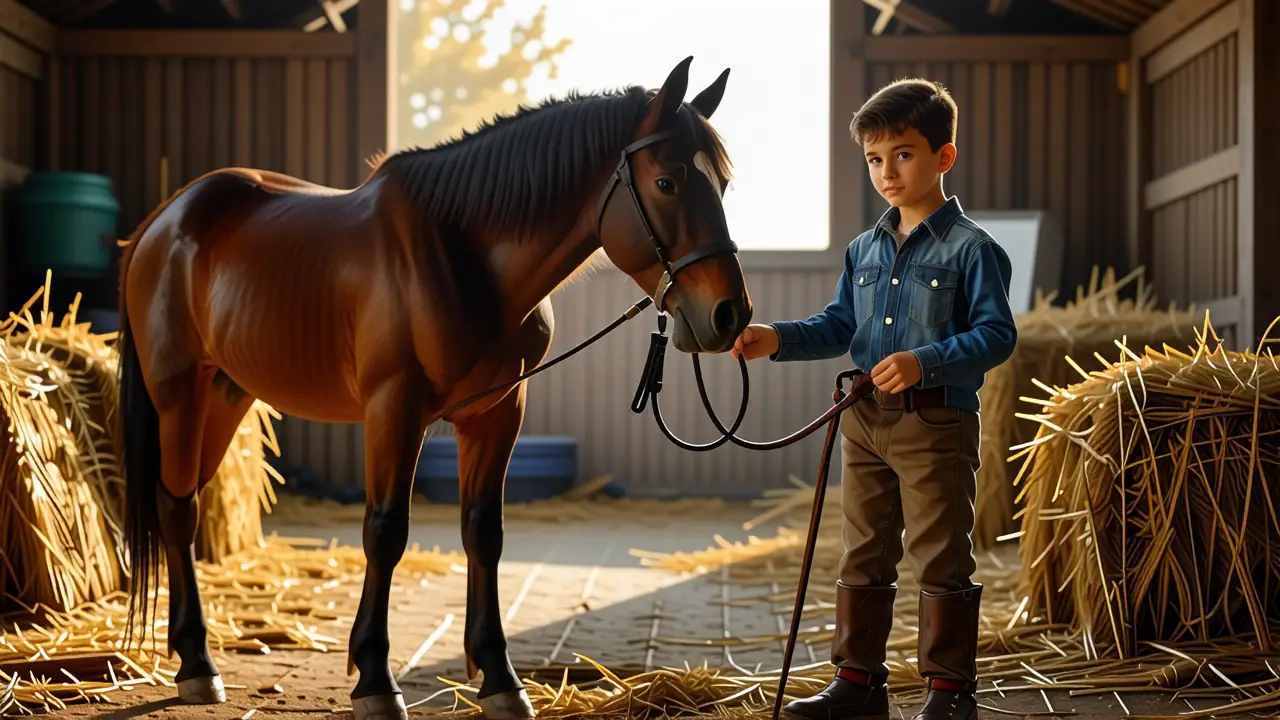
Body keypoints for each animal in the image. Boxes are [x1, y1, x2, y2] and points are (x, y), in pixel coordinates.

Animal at [115, 55, 752, 720]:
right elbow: (386, 531)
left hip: (225, 395)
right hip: (179, 394)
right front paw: (374, 678)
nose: (729, 315)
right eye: (667, 183)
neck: (461, 253)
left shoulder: (498, 412)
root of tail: (161, 222)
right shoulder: (394, 408)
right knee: (178, 508)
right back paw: (197, 664)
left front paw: (499, 678)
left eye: (722, 185)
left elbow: (484, 532)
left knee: (182, 499)